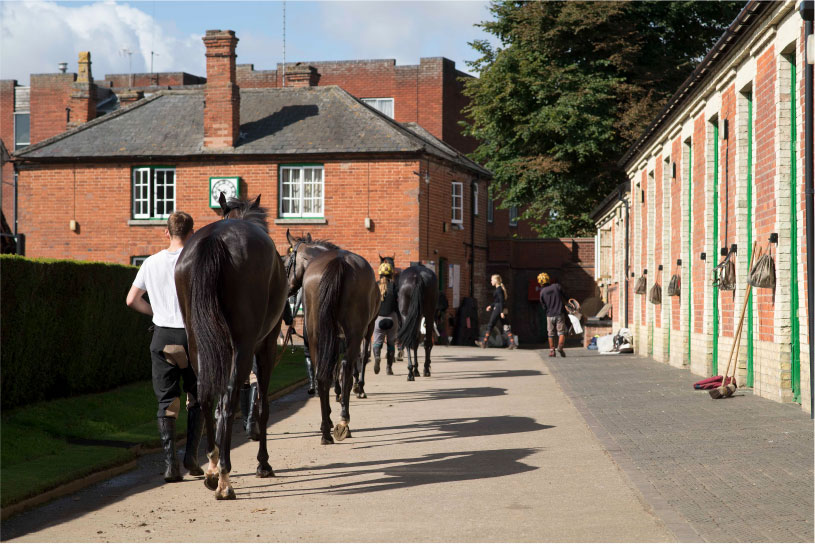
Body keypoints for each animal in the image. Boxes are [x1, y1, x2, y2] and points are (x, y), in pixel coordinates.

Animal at [175, 196, 286, 502]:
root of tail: (215, 238)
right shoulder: (266, 344)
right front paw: (263, 463)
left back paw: (213, 469)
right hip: (244, 344)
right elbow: (262, 405)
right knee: (228, 399)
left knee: (205, 396)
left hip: (196, 341)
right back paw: (224, 477)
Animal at [284, 232, 380, 444]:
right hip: (355, 332)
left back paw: (326, 430)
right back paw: (343, 420)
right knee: (347, 366)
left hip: (317, 334)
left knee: (323, 375)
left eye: (286, 262)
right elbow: (354, 363)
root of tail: (338, 262)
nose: (285, 289)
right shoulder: (360, 331)